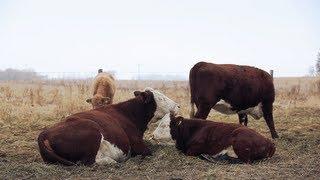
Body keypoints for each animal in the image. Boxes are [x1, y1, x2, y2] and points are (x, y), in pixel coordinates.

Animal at [37, 89, 180, 166]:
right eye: (161, 98)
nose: (178, 106)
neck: (129, 114)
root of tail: (44, 133)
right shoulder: (139, 146)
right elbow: (151, 150)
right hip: (92, 130)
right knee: (89, 161)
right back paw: (112, 161)